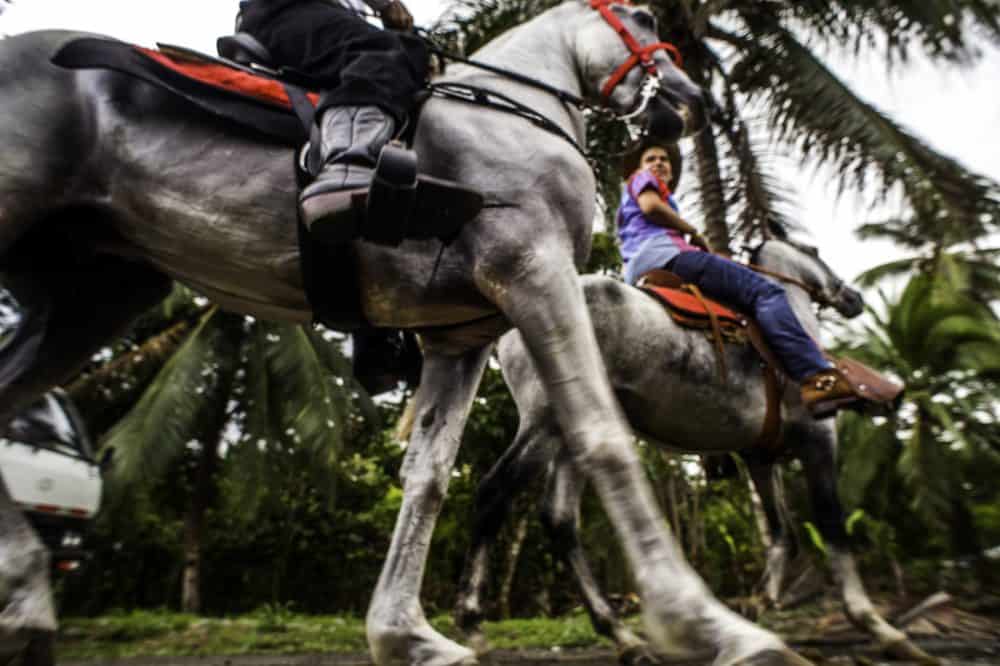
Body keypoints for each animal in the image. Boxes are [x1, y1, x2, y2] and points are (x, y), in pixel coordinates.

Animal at [458, 240, 932, 664]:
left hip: (572, 432)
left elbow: (782, 532)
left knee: (558, 519)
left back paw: (623, 637)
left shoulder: (759, 457)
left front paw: (760, 602)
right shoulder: (819, 439)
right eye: (814, 254)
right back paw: (472, 624)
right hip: (544, 423)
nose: (852, 297)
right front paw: (879, 627)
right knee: (494, 492)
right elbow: (833, 528)